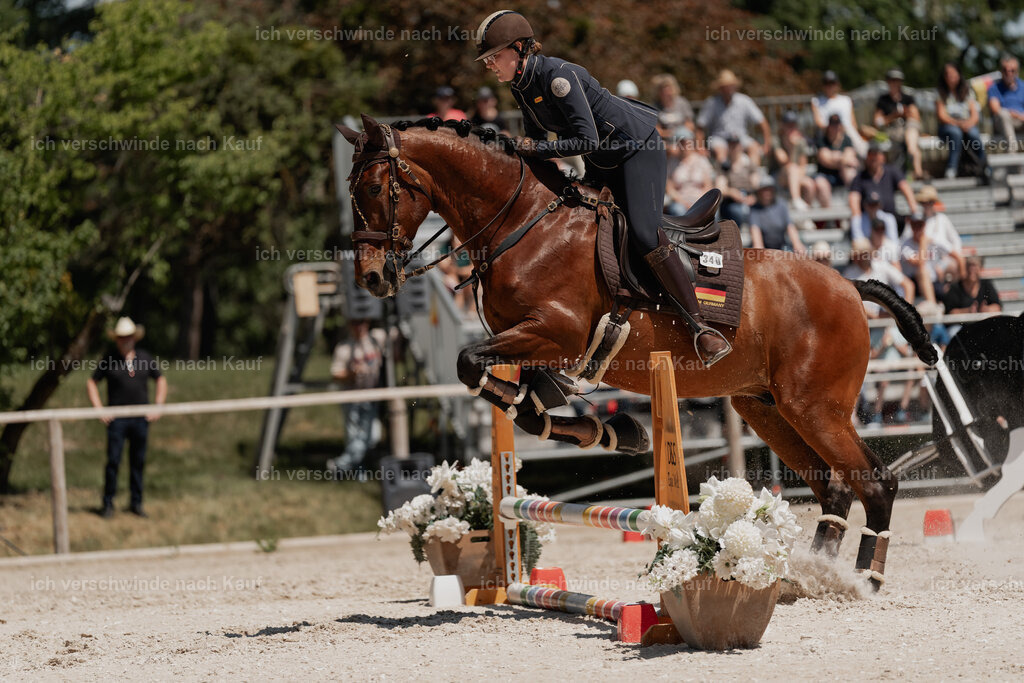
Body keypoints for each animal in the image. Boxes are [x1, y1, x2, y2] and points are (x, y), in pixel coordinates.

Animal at [336, 114, 938, 588]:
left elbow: (473, 365)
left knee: (874, 482)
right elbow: (522, 402)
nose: (371, 279)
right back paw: (817, 574)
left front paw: (612, 430)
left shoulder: (555, 333)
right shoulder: (535, 347)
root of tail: (849, 287)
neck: (523, 225)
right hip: (767, 409)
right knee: (833, 487)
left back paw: (864, 579)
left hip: (815, 407)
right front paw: (612, 431)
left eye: (375, 188)